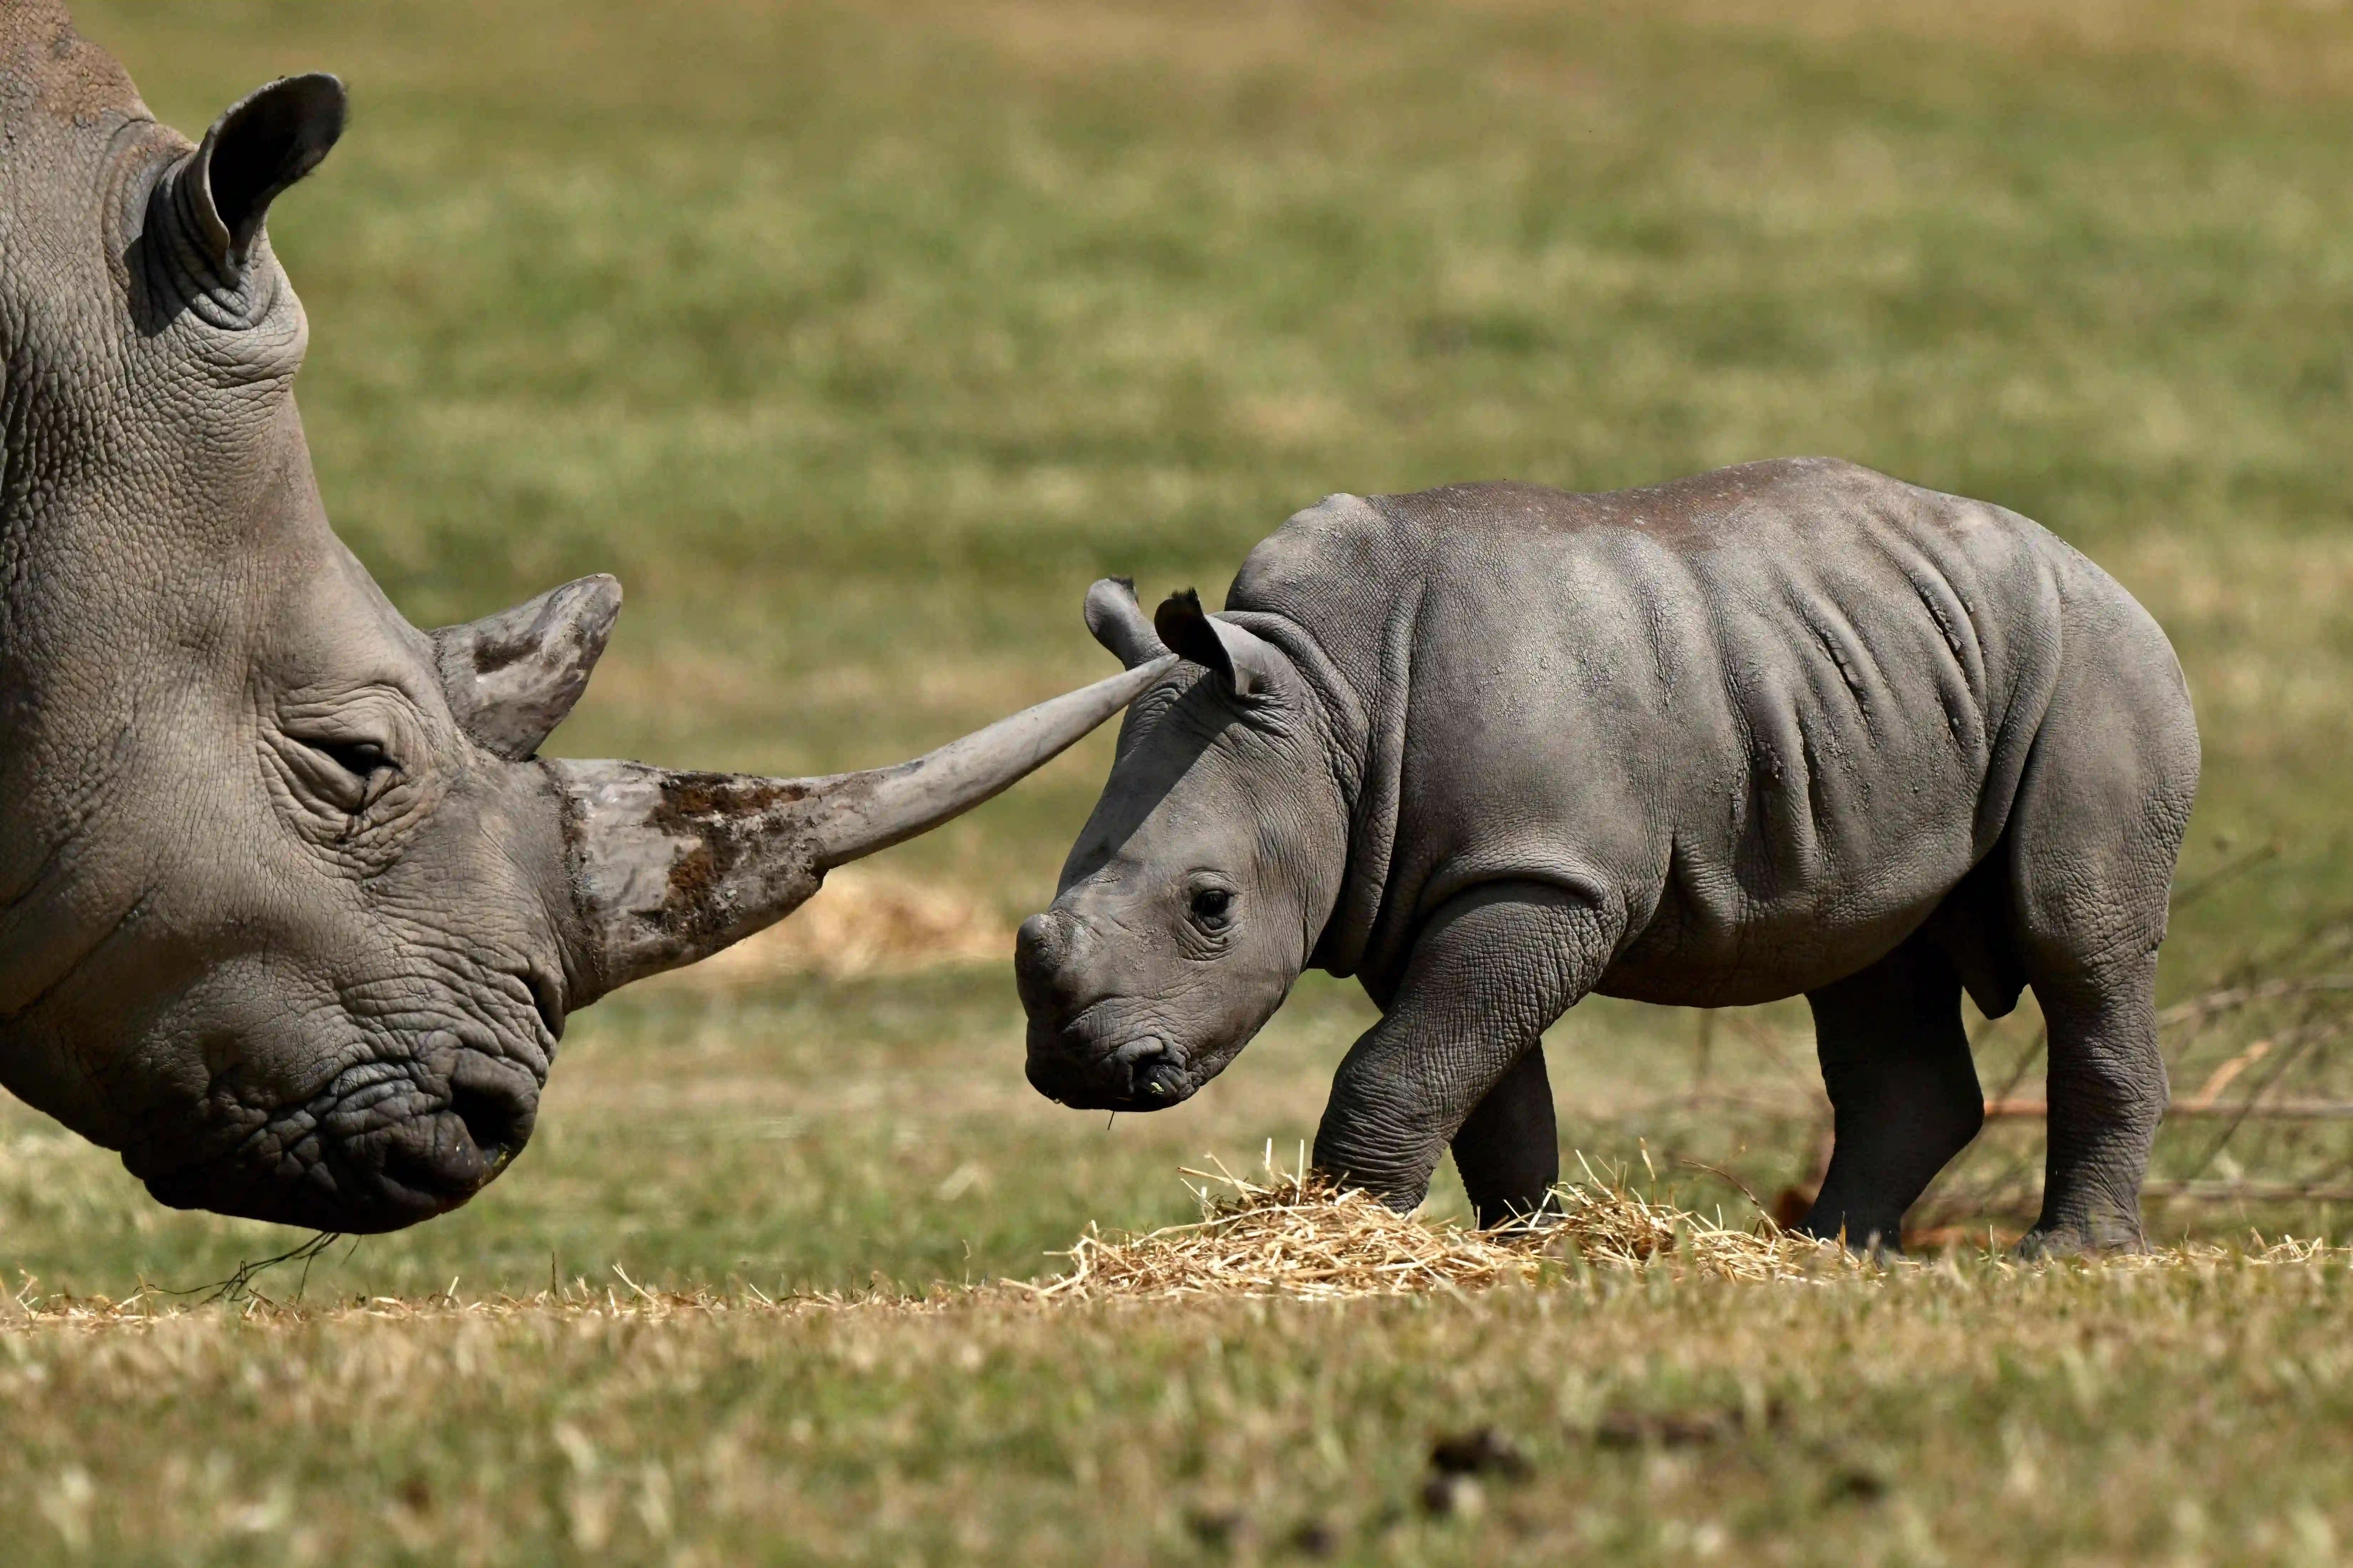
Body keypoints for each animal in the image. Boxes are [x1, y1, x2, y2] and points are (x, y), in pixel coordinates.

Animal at [1016, 461, 2202, 1260]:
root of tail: (2103, 574)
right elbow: (1480, 1084)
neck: (1323, 694)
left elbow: (1402, 1062)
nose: (1079, 1067)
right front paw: (1523, 1249)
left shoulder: (1545, 876)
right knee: (1869, 959)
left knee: (2074, 942)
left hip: (2095, 667)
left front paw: (1350, 1232)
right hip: (1877, 681)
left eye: (1210, 904)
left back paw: (2066, 1256)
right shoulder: (1446, 879)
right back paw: (1824, 1252)